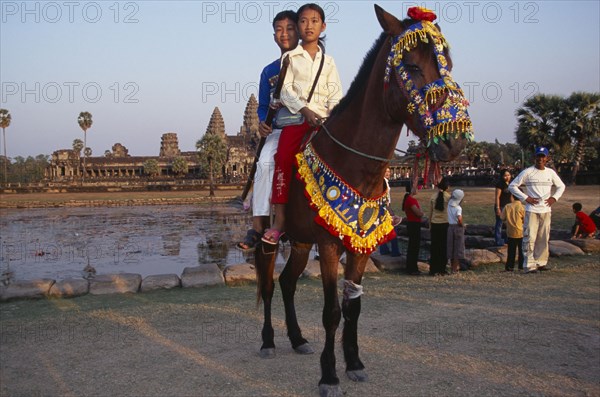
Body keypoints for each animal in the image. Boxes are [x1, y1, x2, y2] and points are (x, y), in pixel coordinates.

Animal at [253, 3, 474, 396]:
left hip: (300, 241)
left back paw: (297, 339)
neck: (357, 165)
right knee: (267, 283)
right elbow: (331, 312)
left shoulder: (362, 244)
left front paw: (354, 363)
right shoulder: (328, 245)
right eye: (412, 66)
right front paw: (328, 375)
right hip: (268, 235)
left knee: (287, 283)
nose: (455, 141)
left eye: (448, 62)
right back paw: (267, 341)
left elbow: (352, 307)